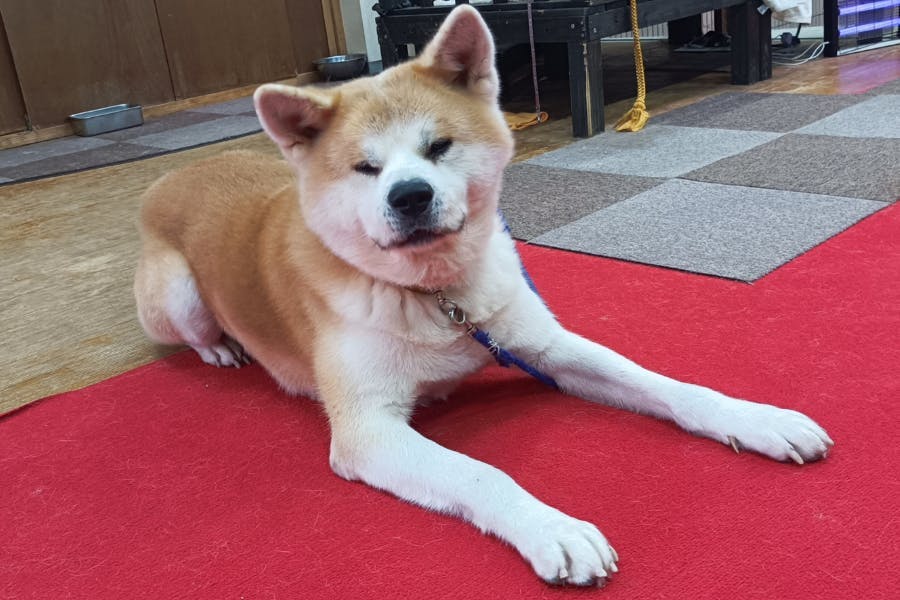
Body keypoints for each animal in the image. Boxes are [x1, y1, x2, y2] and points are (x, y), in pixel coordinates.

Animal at [134, 5, 832, 586]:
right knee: (193, 332)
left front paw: (756, 419)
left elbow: (671, 387)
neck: (439, 297)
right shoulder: (368, 430)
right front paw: (552, 529)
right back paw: (222, 349)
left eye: (438, 147)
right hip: (177, 298)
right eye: (366, 168)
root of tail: (176, 173)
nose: (409, 196)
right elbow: (480, 471)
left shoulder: (545, 348)